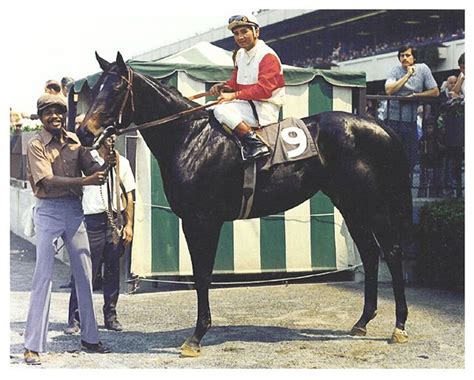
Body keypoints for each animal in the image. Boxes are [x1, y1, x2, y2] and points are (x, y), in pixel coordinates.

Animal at [80, 52, 412, 354]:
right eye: (95, 89)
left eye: (116, 89)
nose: (84, 132)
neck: (191, 137)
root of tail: (380, 127)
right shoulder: (191, 221)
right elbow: (200, 275)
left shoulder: (204, 220)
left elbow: (203, 276)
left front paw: (196, 336)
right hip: (351, 205)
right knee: (369, 252)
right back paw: (362, 321)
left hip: (373, 204)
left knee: (392, 252)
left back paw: (399, 326)